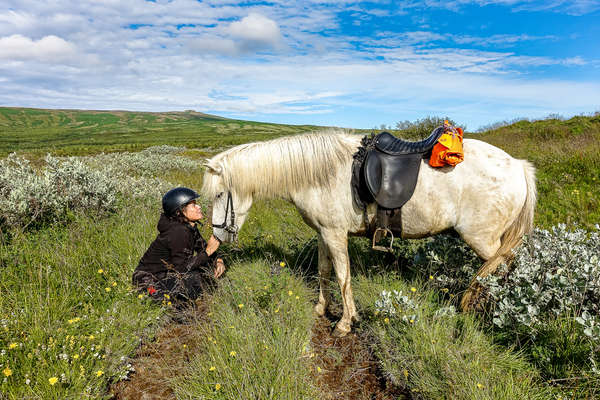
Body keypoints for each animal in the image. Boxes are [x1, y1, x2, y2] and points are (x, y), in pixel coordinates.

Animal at [202, 130, 536, 336]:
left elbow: (343, 276)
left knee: (500, 272)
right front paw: (321, 308)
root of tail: (519, 166)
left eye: (219, 195)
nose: (218, 238)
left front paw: (345, 323)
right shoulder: (323, 233)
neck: (319, 173)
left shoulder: (335, 234)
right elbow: (324, 271)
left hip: (483, 241)